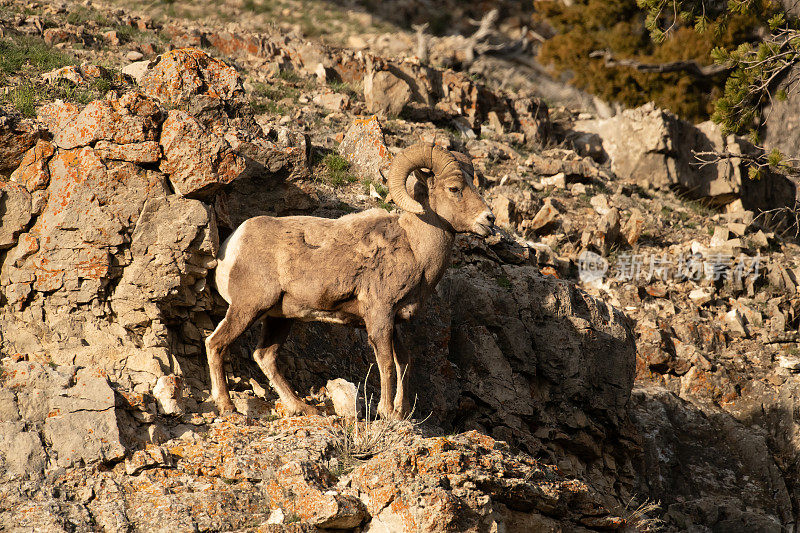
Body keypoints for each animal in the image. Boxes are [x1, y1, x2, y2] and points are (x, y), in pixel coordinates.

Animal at [206, 142, 494, 420]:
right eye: (454, 188)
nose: (489, 220)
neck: (414, 248)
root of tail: (232, 245)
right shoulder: (379, 315)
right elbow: (386, 364)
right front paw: (386, 412)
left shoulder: (396, 321)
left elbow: (404, 363)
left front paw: (401, 414)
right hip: (248, 308)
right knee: (216, 344)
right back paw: (228, 408)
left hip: (280, 318)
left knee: (265, 356)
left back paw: (302, 408)